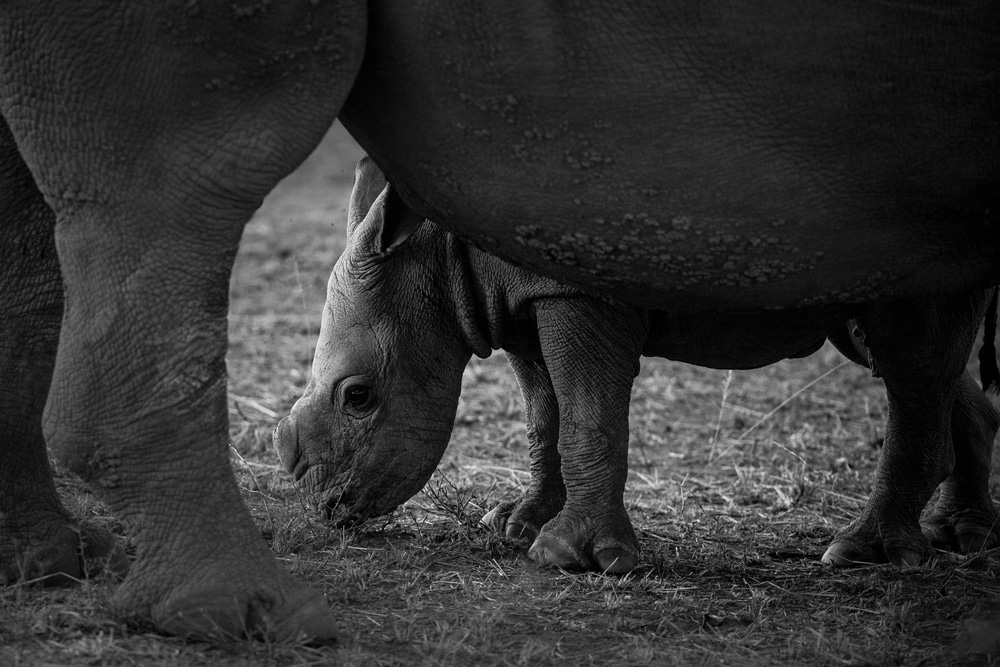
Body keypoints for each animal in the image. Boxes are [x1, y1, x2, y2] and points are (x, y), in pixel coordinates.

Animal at [276, 158, 1000, 576]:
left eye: (359, 396)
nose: (325, 507)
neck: (435, 258)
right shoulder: (519, 304)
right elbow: (546, 418)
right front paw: (518, 524)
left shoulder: (578, 291)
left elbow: (587, 418)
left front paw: (571, 558)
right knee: (915, 361)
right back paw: (959, 536)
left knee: (911, 357)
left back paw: (864, 556)